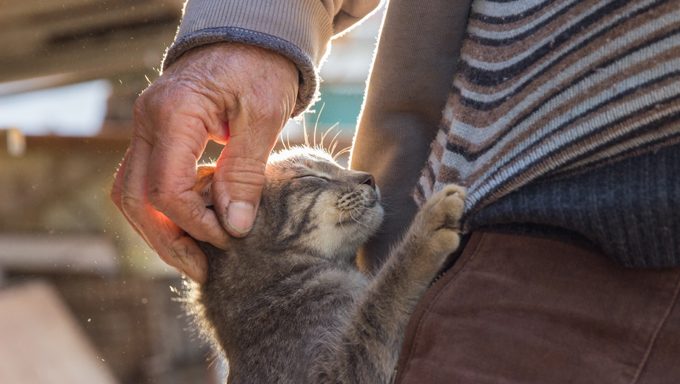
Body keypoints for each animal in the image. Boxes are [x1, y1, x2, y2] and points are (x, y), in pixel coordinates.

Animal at [191, 146, 468, 382]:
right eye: (311, 177)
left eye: (337, 165)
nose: (369, 177)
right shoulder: (331, 373)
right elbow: (384, 298)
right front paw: (427, 227)